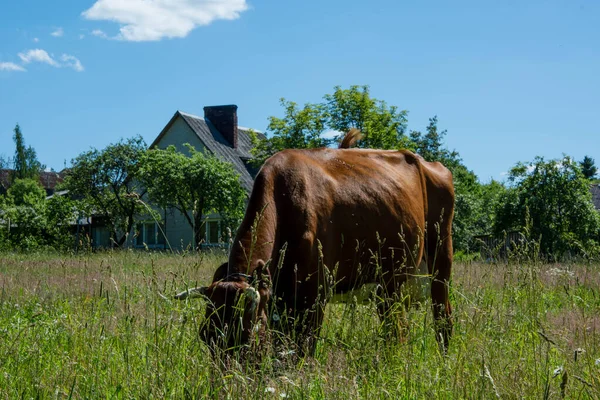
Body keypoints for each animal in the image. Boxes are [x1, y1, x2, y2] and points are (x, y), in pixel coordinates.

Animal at [175, 130, 454, 354]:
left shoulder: (314, 294)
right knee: (395, 328)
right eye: (205, 337)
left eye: (246, 338)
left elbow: (304, 348)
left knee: (443, 317)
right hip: (388, 284)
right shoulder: (279, 297)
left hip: (441, 259)